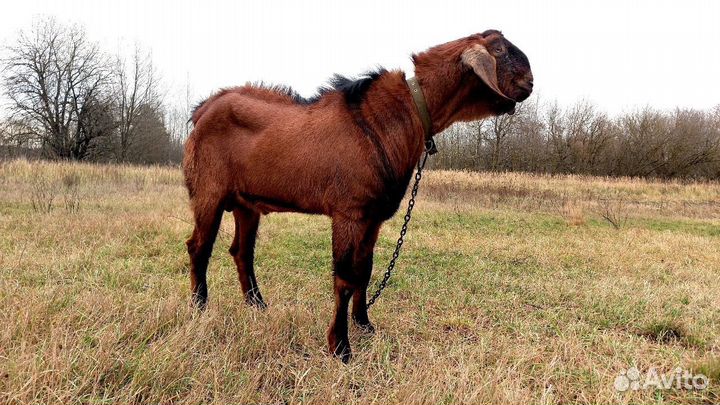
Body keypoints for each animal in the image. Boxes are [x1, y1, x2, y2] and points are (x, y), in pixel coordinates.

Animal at [183, 30, 533, 362]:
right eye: (499, 49)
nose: (530, 82)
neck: (403, 114)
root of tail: (202, 110)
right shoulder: (349, 212)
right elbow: (345, 277)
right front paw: (340, 347)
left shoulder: (373, 217)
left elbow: (365, 270)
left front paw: (364, 324)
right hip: (208, 191)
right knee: (198, 245)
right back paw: (199, 307)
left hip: (246, 203)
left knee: (242, 252)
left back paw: (257, 305)